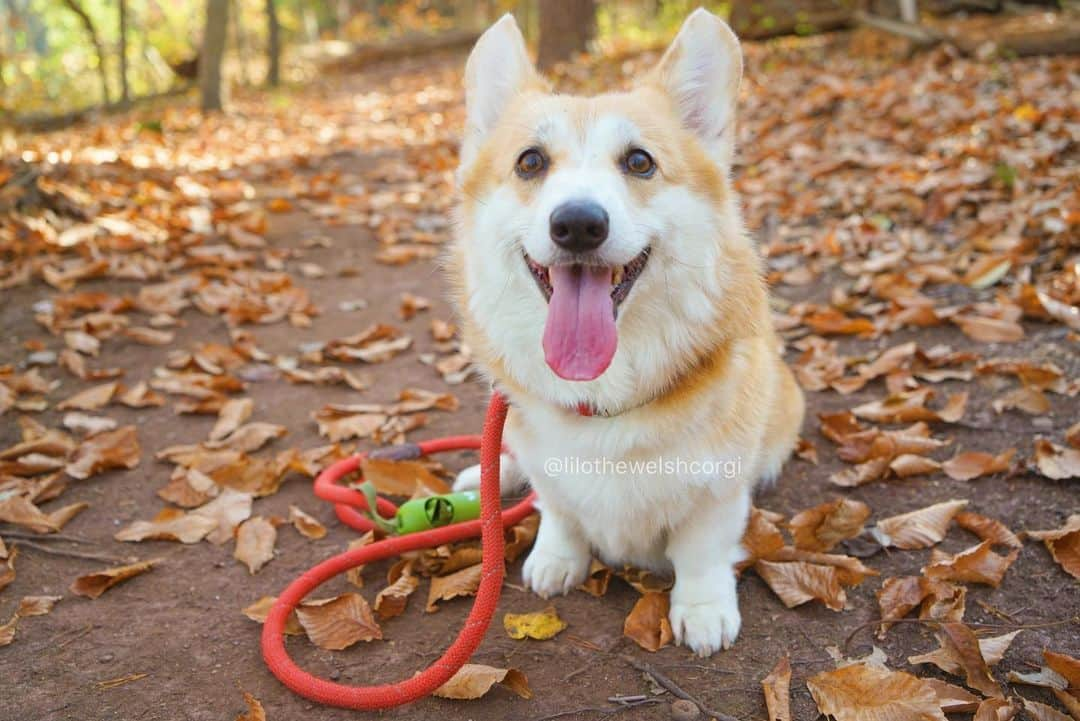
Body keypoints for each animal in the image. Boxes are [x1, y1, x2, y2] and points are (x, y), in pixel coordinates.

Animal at [444, 8, 803, 656]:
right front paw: (557, 560)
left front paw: (703, 610)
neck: (602, 397)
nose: (578, 224)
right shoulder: (550, 467)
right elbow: (558, 508)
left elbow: (701, 549)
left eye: (639, 162)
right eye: (530, 162)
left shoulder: (718, 491)